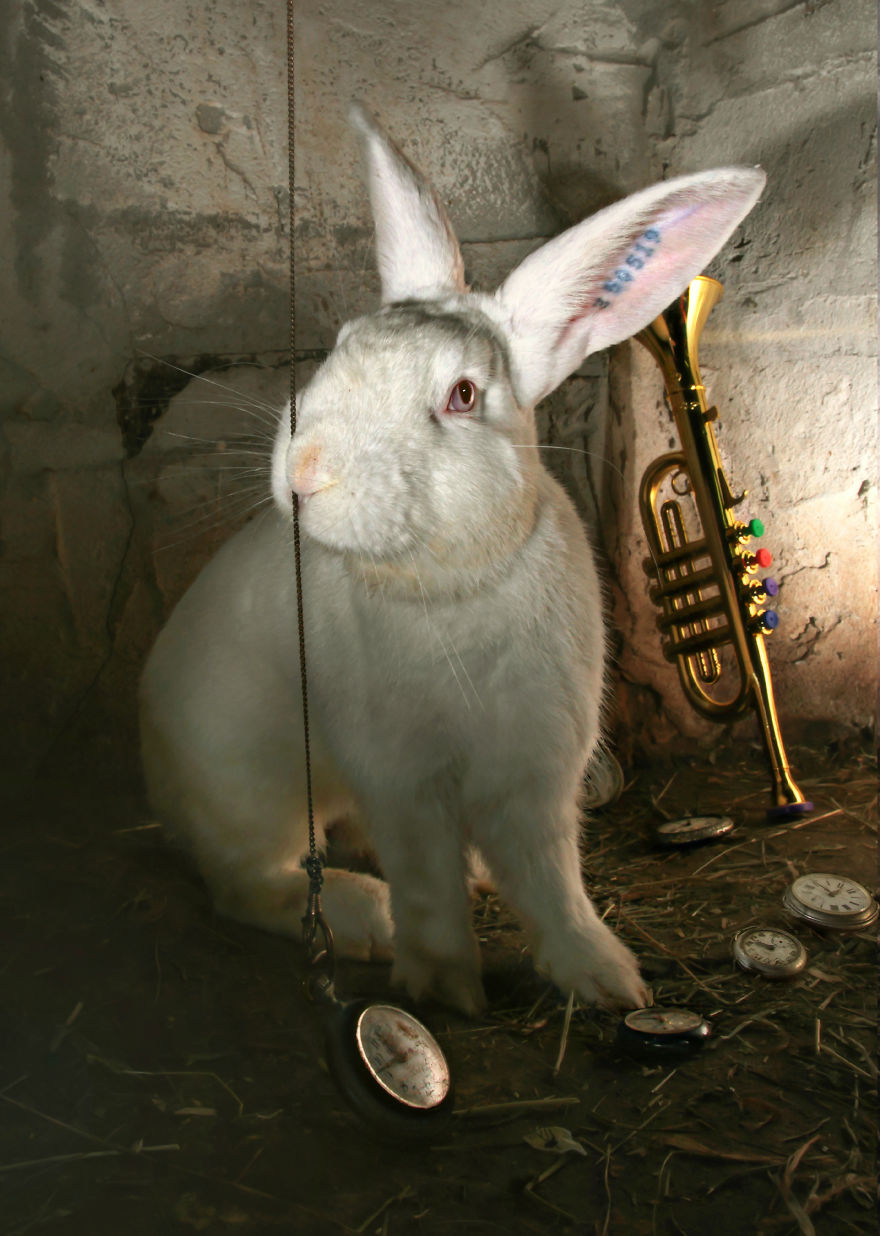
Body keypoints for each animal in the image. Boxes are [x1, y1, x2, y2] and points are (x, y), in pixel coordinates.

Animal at [140, 105, 765, 1016]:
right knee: (251, 881)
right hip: (252, 787)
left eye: (464, 397)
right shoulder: (402, 778)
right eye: (340, 344)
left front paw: (607, 980)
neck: (450, 584)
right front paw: (441, 987)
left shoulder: (537, 770)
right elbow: (426, 879)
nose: (305, 471)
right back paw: (363, 916)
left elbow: (552, 879)